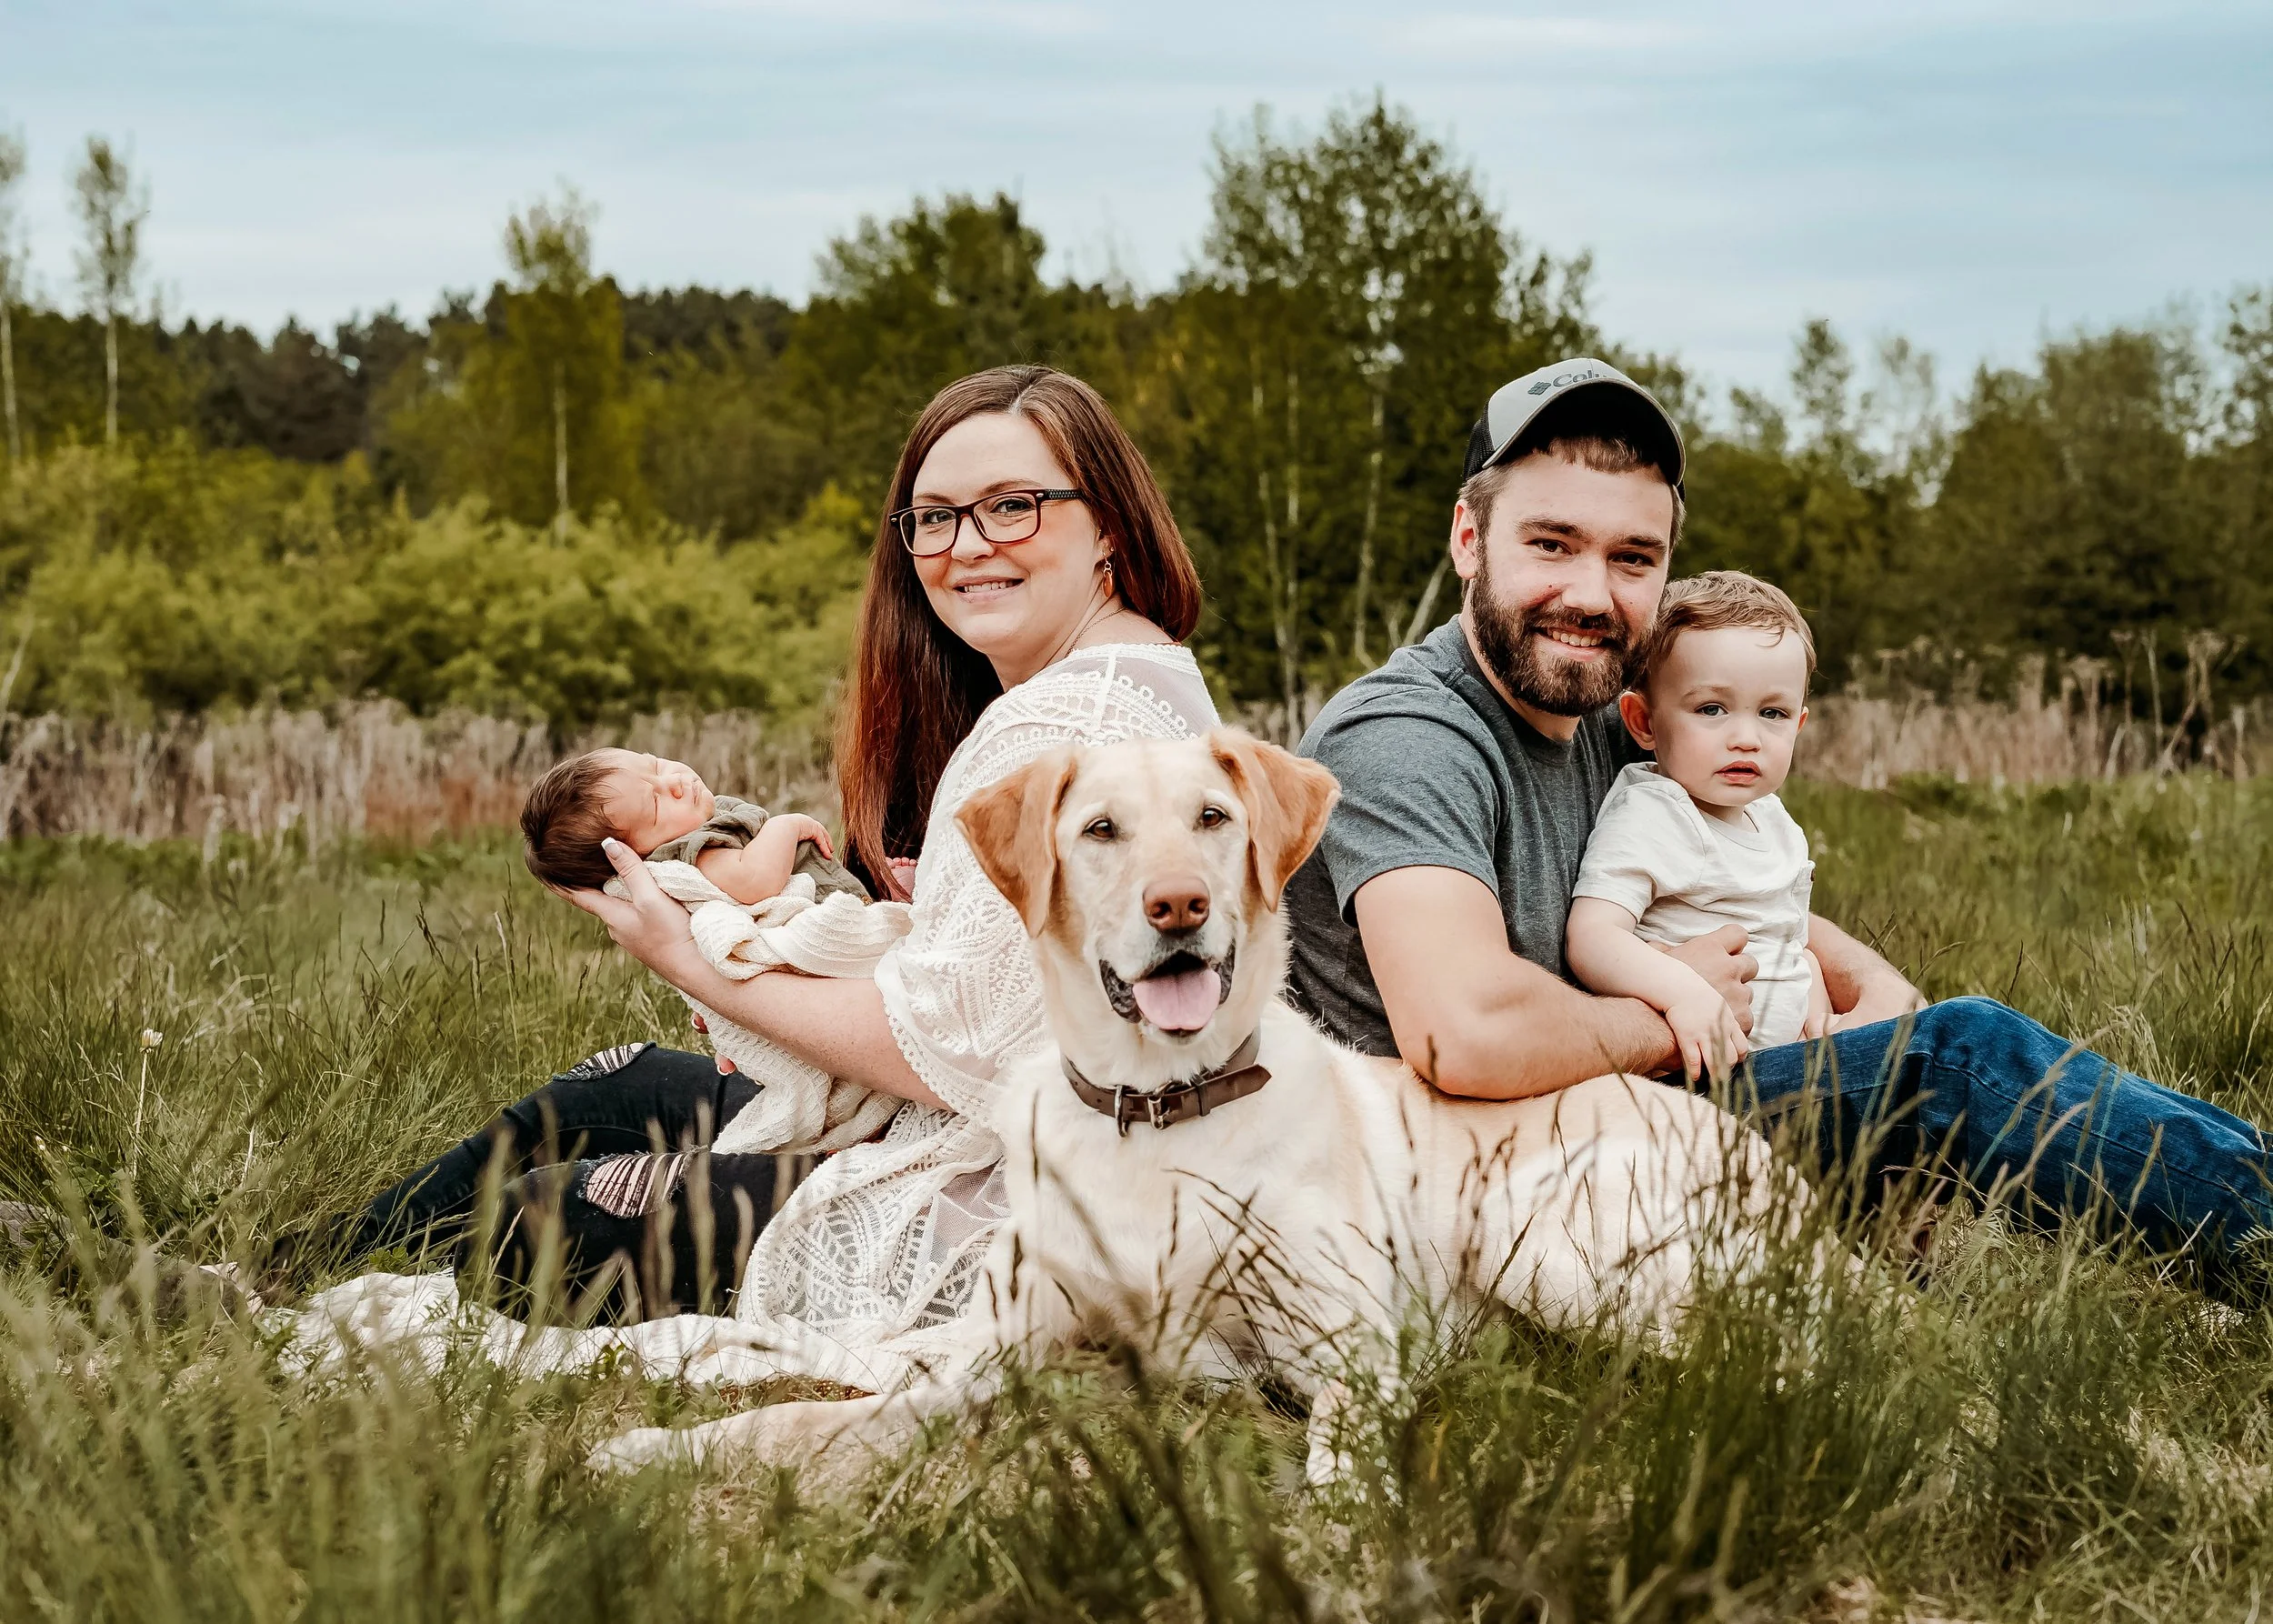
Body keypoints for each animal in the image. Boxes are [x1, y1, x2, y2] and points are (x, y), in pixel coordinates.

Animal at [592, 729, 1797, 1483]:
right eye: (1099, 830)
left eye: (1214, 817)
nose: (1181, 906)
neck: (1156, 1109)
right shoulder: (998, 1357)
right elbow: (800, 1416)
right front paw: (652, 1452)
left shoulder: (1347, 1347)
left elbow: (1341, 1463)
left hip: (1537, 1231)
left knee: (1769, 1356)